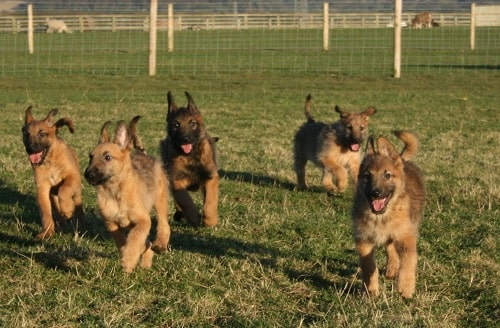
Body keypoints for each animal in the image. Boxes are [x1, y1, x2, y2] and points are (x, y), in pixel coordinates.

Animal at [21, 106, 85, 240]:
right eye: (26, 135)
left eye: (42, 134)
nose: (31, 149)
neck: (50, 160)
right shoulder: (42, 187)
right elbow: (45, 212)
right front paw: (47, 232)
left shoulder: (72, 176)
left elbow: (64, 190)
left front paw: (68, 209)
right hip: (52, 194)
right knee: (56, 206)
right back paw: (61, 221)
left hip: (77, 189)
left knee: (77, 202)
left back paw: (79, 219)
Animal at [85, 118, 171, 274]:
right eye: (90, 157)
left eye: (107, 157)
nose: (88, 174)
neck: (115, 191)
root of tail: (144, 155)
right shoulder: (111, 223)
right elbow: (122, 240)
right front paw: (129, 253)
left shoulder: (143, 220)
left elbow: (136, 238)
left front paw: (129, 260)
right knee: (147, 242)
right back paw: (145, 262)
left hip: (160, 200)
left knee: (163, 225)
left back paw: (160, 244)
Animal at [160, 91, 219, 227]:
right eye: (176, 125)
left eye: (192, 124)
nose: (185, 139)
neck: (190, 157)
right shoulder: (176, 181)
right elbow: (185, 201)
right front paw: (194, 217)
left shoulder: (210, 177)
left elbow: (210, 199)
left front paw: (210, 220)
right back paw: (179, 214)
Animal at [352, 131, 426, 300]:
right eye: (367, 176)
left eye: (387, 176)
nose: (376, 193)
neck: (381, 217)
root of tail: (403, 160)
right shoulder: (363, 241)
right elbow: (368, 266)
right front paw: (371, 289)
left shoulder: (406, 236)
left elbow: (409, 261)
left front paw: (406, 287)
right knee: (390, 247)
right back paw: (391, 268)